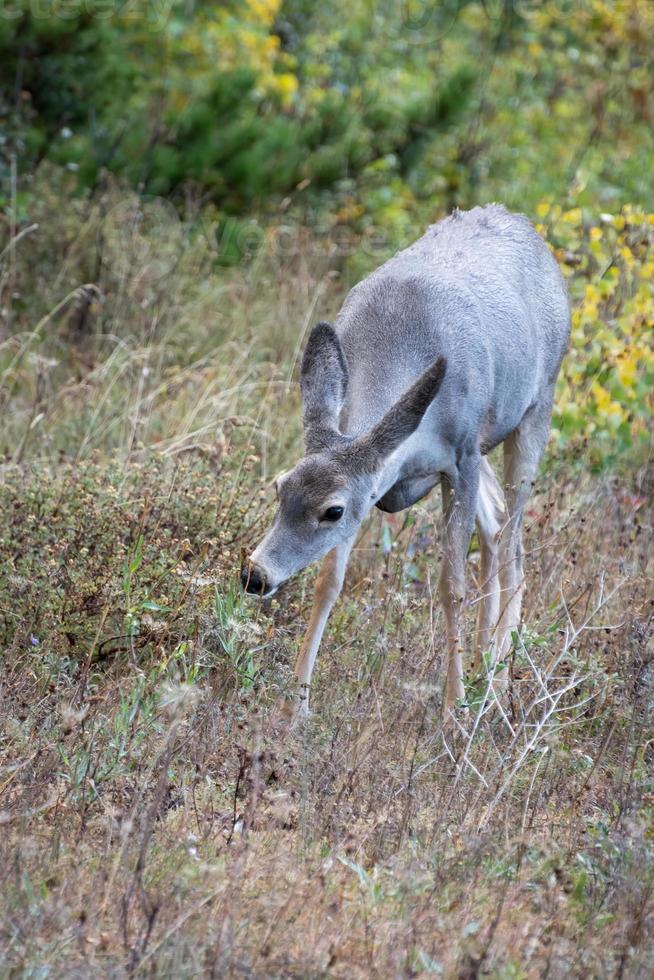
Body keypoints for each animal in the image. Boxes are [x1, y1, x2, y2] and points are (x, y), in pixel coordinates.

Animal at [243, 205, 572, 720]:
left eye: (332, 510)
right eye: (279, 486)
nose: (255, 575)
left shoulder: (460, 457)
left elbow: (452, 586)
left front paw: (452, 711)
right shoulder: (385, 473)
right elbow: (329, 581)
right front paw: (294, 706)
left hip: (537, 408)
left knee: (515, 540)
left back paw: (497, 683)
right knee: (497, 523)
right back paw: (483, 662)